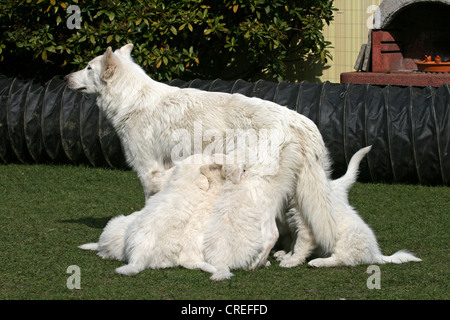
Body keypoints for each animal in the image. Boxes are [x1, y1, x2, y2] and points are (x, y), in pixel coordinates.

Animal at [66, 43, 338, 260]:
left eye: (88, 68)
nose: (65, 77)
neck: (133, 99)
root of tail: (299, 121)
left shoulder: (148, 172)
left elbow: (149, 205)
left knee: (275, 231)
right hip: (297, 195)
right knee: (307, 231)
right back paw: (291, 258)